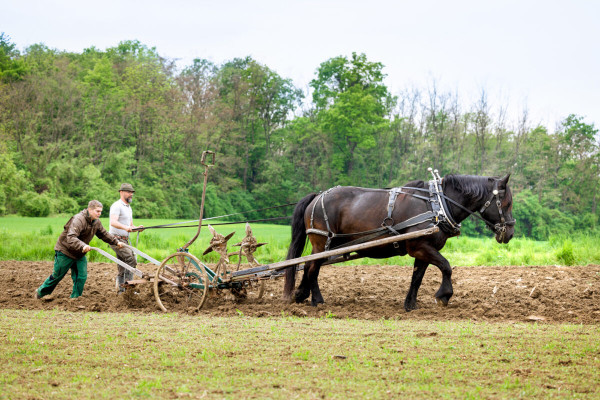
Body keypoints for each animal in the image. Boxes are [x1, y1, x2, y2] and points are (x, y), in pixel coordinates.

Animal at [284, 172, 512, 310]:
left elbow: (417, 278)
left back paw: (301, 294)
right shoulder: (420, 247)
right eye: (507, 203)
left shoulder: (424, 251)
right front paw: (444, 295)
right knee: (312, 268)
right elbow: (446, 267)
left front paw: (410, 304)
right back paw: (317, 300)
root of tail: (317, 196)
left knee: (308, 266)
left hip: (327, 245)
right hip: (322, 243)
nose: (509, 233)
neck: (437, 204)